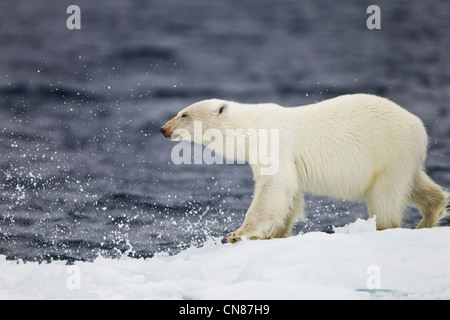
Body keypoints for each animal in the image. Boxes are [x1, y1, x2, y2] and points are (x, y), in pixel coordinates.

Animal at [160, 94, 448, 241]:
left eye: (184, 114)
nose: (164, 129)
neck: (249, 127)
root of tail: (420, 128)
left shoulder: (273, 143)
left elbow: (274, 186)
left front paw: (238, 233)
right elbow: (290, 192)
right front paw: (276, 233)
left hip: (389, 151)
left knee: (386, 196)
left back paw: (386, 227)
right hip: (402, 158)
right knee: (414, 185)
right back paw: (429, 216)